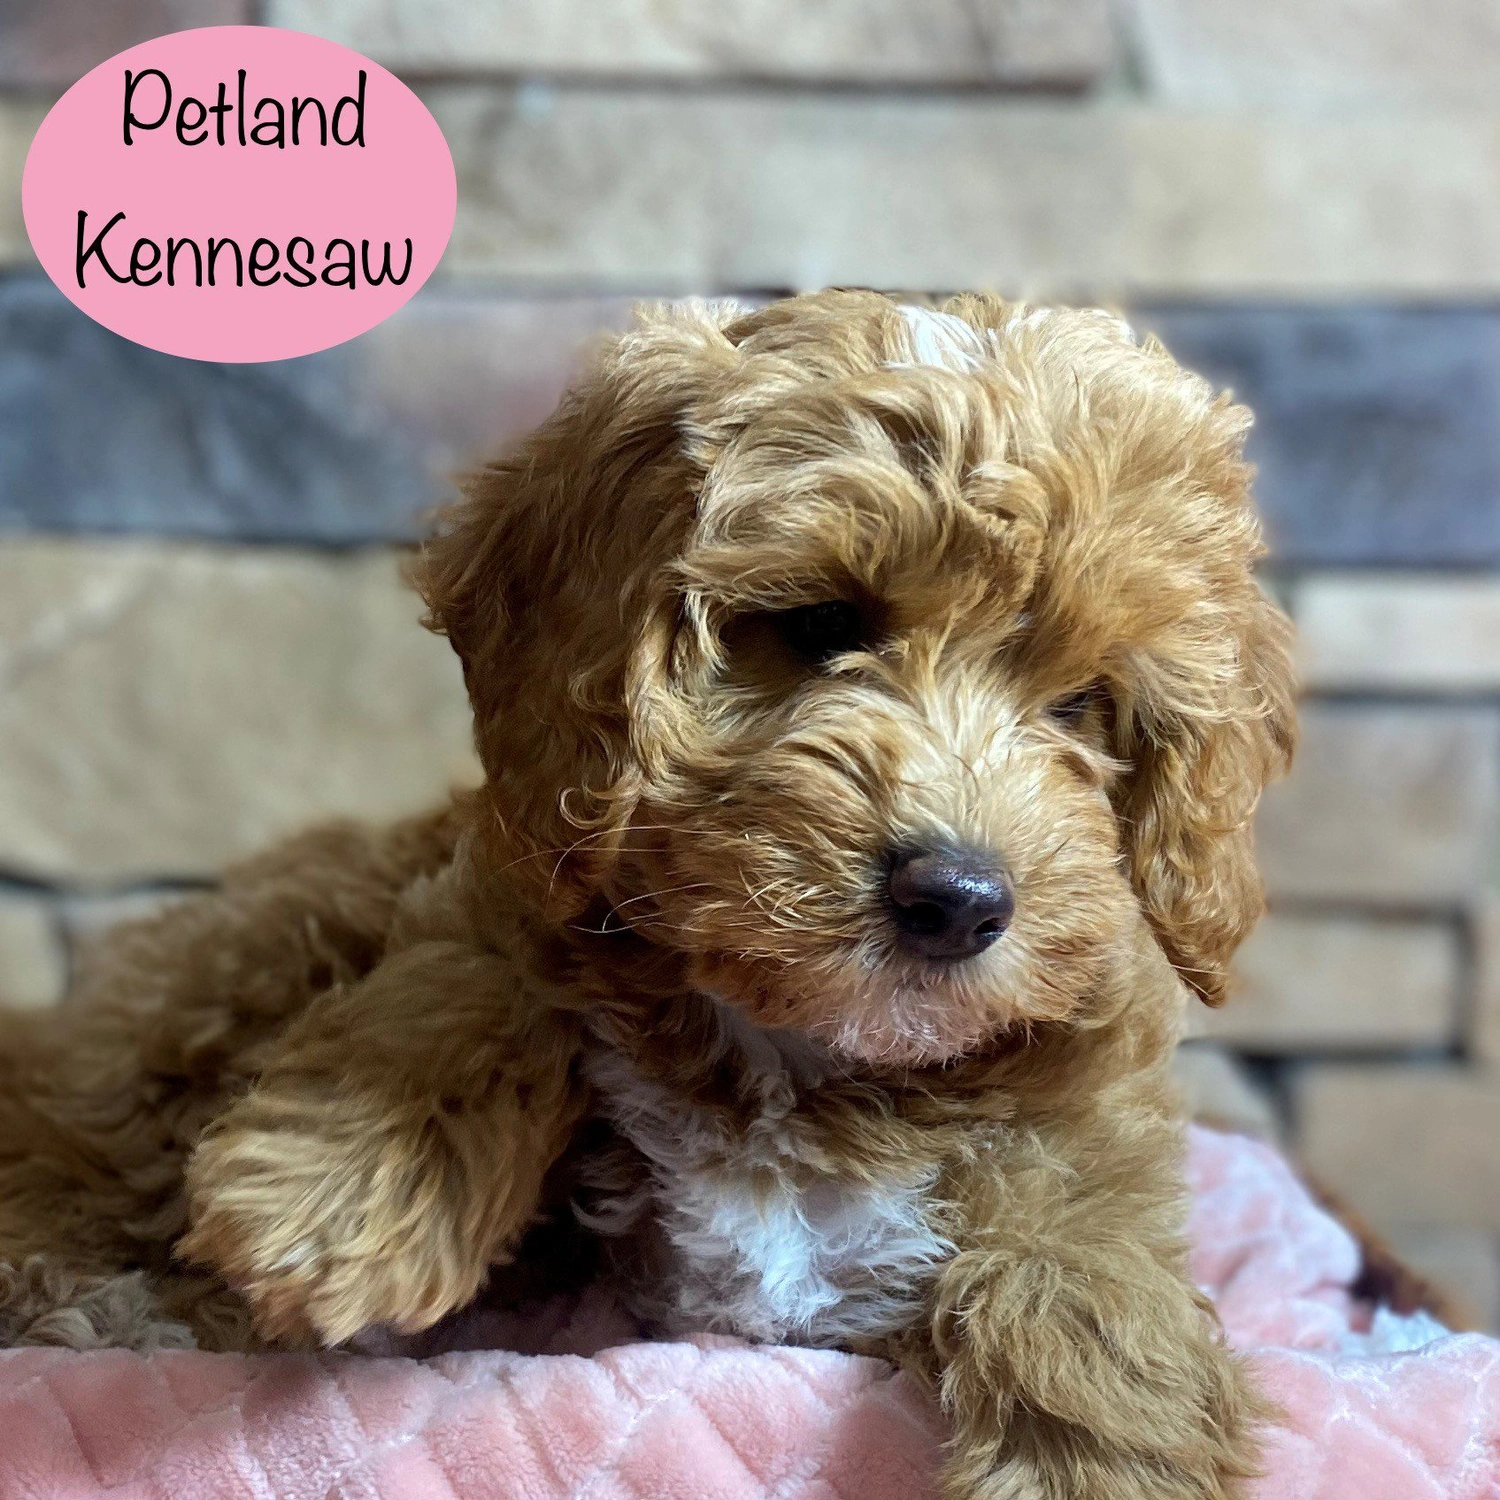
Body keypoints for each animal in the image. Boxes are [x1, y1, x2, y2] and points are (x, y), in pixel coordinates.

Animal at [0, 290, 1295, 1498]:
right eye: (820, 624)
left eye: (1083, 703)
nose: (960, 900)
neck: (804, 1049)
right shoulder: (506, 869)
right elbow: (474, 980)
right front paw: (338, 1197)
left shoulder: (1082, 1120)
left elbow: (1088, 1269)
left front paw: (1101, 1451)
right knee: (68, 1139)